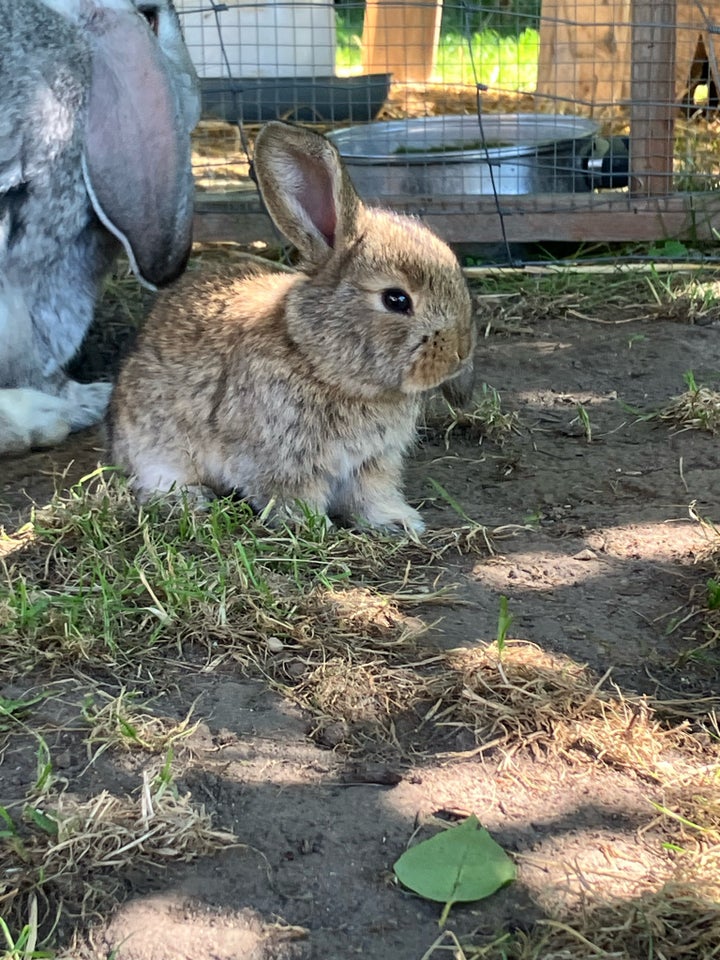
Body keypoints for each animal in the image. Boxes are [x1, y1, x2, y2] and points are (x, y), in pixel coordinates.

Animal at [109, 120, 476, 532]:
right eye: (396, 299)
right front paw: (312, 526)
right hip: (156, 448)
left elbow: (371, 495)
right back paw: (190, 500)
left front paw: (397, 522)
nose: (462, 351)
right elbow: (294, 495)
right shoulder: (282, 461)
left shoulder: (372, 462)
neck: (316, 360)